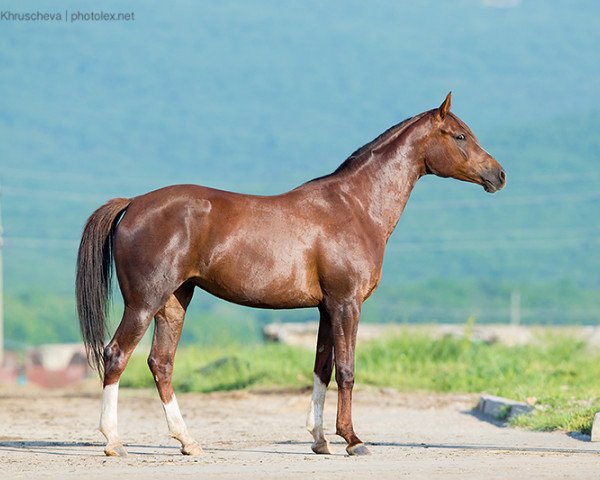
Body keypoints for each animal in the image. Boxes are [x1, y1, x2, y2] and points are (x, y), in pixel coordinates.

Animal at [75, 93, 506, 458]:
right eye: (460, 135)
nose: (499, 175)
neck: (355, 206)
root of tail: (133, 203)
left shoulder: (326, 308)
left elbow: (322, 369)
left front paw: (320, 441)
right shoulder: (346, 304)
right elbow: (347, 370)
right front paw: (353, 440)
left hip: (174, 303)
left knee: (161, 364)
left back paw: (188, 442)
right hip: (144, 303)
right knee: (116, 355)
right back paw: (113, 442)